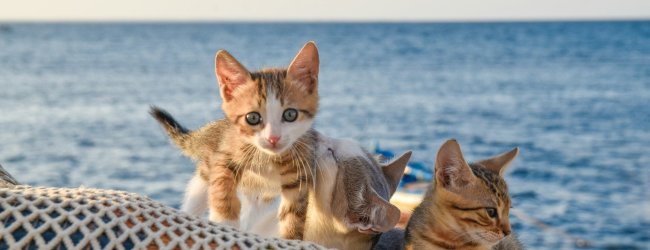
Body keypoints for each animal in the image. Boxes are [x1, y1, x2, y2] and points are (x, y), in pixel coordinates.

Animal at [147, 41, 318, 240]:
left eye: (290, 114)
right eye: (253, 118)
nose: (273, 138)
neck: (267, 157)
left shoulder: (300, 168)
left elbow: (293, 211)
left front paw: (290, 237)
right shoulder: (224, 155)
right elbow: (222, 187)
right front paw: (225, 223)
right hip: (204, 174)